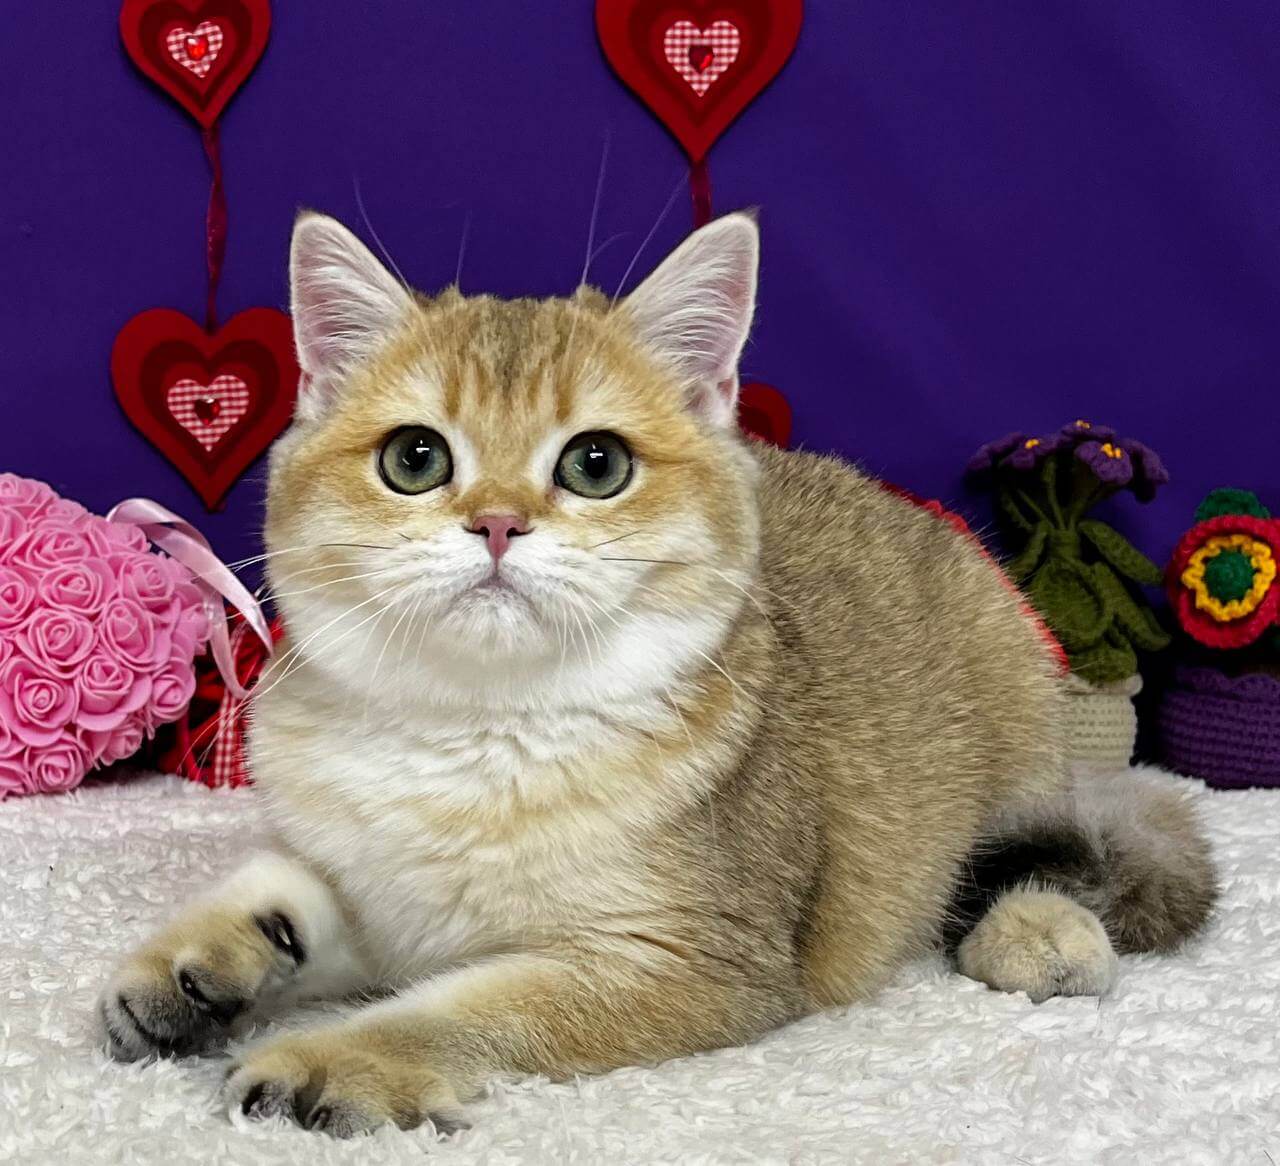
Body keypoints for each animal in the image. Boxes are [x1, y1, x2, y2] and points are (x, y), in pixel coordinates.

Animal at [97, 210, 1216, 1137]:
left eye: (595, 465)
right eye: (415, 458)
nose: (496, 523)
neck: (477, 732)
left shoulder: (692, 963)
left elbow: (465, 1006)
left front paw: (337, 1056)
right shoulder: (369, 884)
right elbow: (285, 889)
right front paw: (202, 960)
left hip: (1012, 707)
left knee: (1032, 851)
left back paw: (1040, 928)